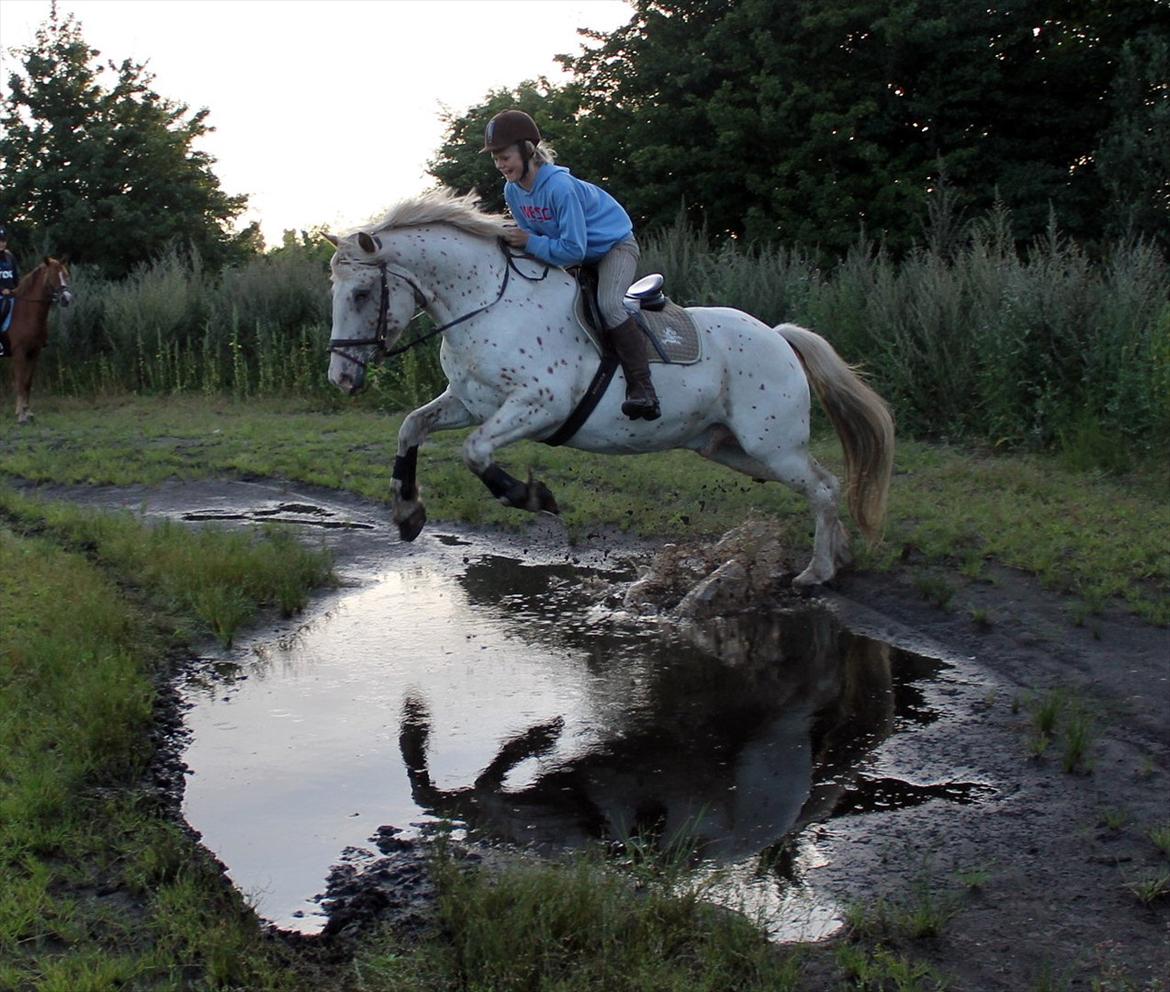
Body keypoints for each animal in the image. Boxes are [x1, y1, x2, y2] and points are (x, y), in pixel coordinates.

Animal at [1, 256, 73, 423]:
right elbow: (20, 382)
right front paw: (21, 416)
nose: (66, 299)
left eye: (66, 275)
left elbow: (27, 382)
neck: (26, 313)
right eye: (53, 276)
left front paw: (27, 412)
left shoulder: (34, 352)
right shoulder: (19, 353)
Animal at [325, 189, 889, 584]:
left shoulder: (539, 405)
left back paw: (818, 571)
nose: (341, 378)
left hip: (771, 444)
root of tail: (778, 335)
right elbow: (411, 427)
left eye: (360, 292)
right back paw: (838, 554)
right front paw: (407, 514)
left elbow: (475, 450)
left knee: (822, 487)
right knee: (825, 485)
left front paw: (532, 496)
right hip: (732, 448)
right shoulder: (469, 402)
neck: (487, 304)